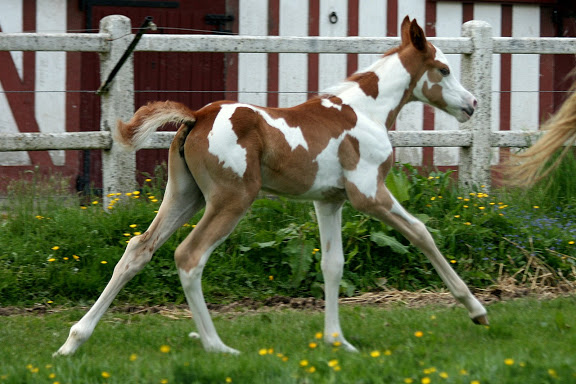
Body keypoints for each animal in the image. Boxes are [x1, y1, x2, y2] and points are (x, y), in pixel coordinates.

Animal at [53, 16, 486, 356]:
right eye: (444, 69)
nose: (473, 104)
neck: (366, 111)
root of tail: (197, 116)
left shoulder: (329, 202)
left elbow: (333, 265)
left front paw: (337, 341)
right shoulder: (368, 194)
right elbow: (421, 232)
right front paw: (476, 309)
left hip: (185, 196)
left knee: (138, 249)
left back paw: (73, 340)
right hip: (231, 200)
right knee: (189, 257)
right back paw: (216, 346)